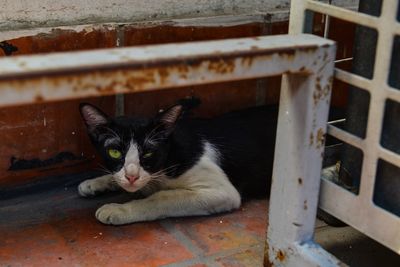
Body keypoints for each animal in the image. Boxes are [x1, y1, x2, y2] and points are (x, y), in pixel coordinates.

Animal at [78, 101, 278, 225]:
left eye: (149, 152)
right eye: (115, 152)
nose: (132, 176)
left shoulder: (223, 192)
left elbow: (162, 197)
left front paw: (119, 210)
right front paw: (94, 183)